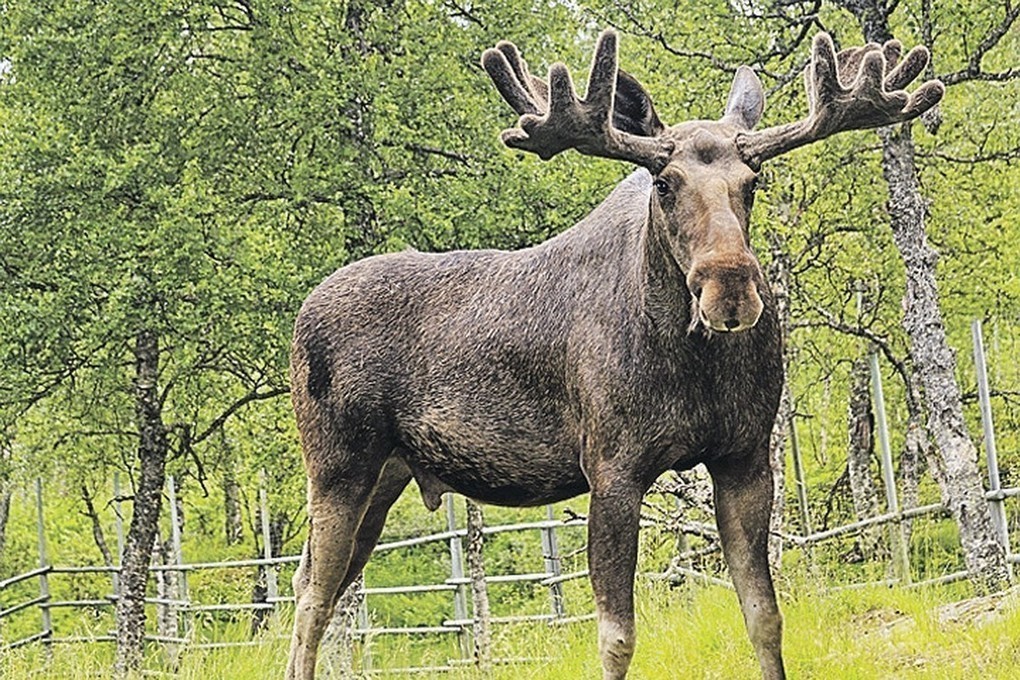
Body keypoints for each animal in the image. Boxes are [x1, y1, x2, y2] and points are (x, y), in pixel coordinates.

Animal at [283, 29, 942, 676]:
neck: (691, 363)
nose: (729, 287)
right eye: (664, 182)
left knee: (319, 584)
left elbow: (764, 617)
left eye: (753, 182)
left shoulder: (745, 457)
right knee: (313, 596)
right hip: (338, 465)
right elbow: (617, 636)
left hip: (385, 473)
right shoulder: (612, 467)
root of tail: (301, 317)